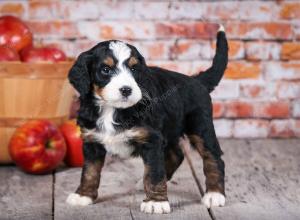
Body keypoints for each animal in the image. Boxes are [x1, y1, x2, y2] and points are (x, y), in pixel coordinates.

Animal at [67, 24, 229, 214]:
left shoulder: (151, 139)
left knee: (213, 157)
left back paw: (214, 194)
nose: (126, 89)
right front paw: (83, 195)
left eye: (134, 69)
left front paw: (155, 202)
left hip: (200, 126)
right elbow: (89, 171)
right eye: (105, 70)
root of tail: (196, 80)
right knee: (177, 154)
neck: (112, 110)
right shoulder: (92, 140)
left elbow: (154, 173)